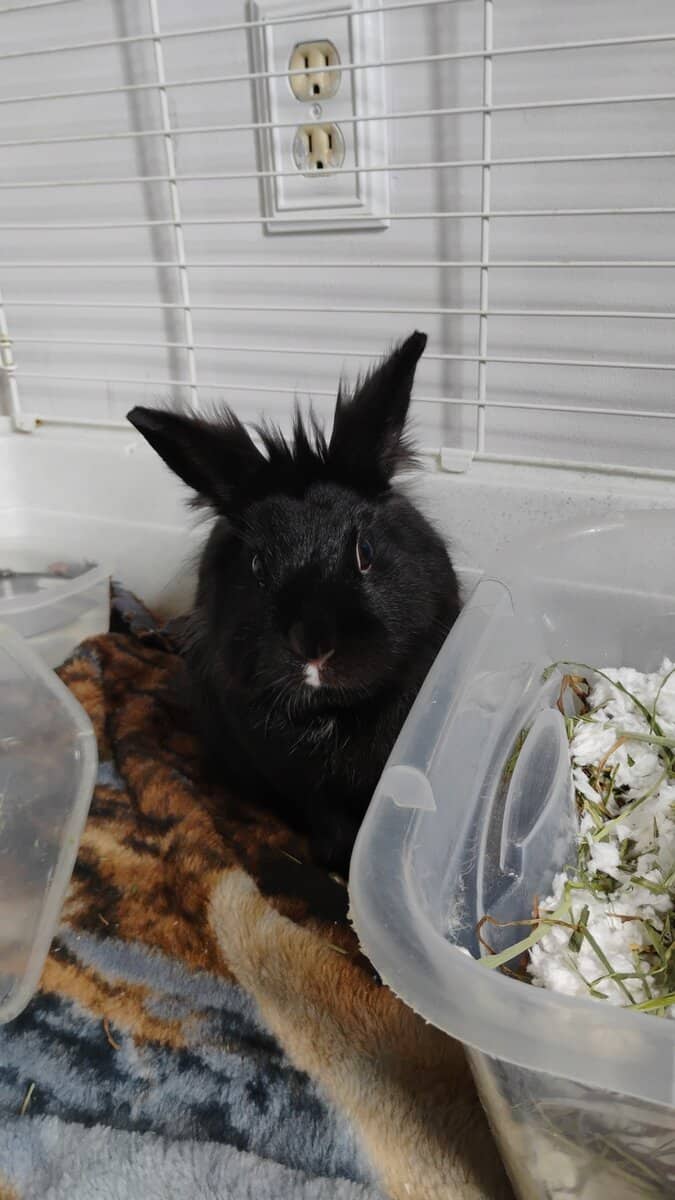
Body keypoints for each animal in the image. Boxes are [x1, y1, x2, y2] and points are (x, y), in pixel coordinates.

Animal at [127, 331, 461, 875]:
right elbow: (327, 817)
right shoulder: (298, 782)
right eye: (257, 566)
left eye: (365, 553)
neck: (334, 714)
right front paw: (339, 863)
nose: (313, 647)